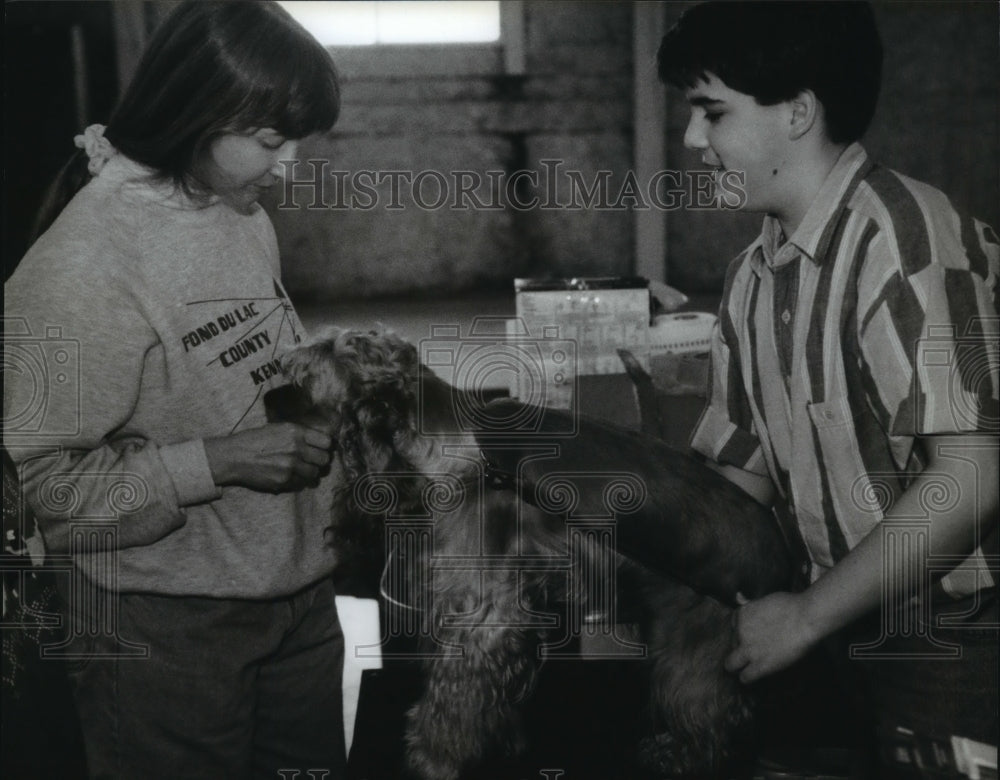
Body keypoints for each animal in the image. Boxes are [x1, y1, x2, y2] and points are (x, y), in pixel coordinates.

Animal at [270, 326, 792, 776]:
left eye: (303, 376)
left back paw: (678, 752)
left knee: (712, 714)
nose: (267, 397)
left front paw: (435, 757)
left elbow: (452, 701)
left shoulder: (482, 615)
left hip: (689, 644)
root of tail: (782, 556)